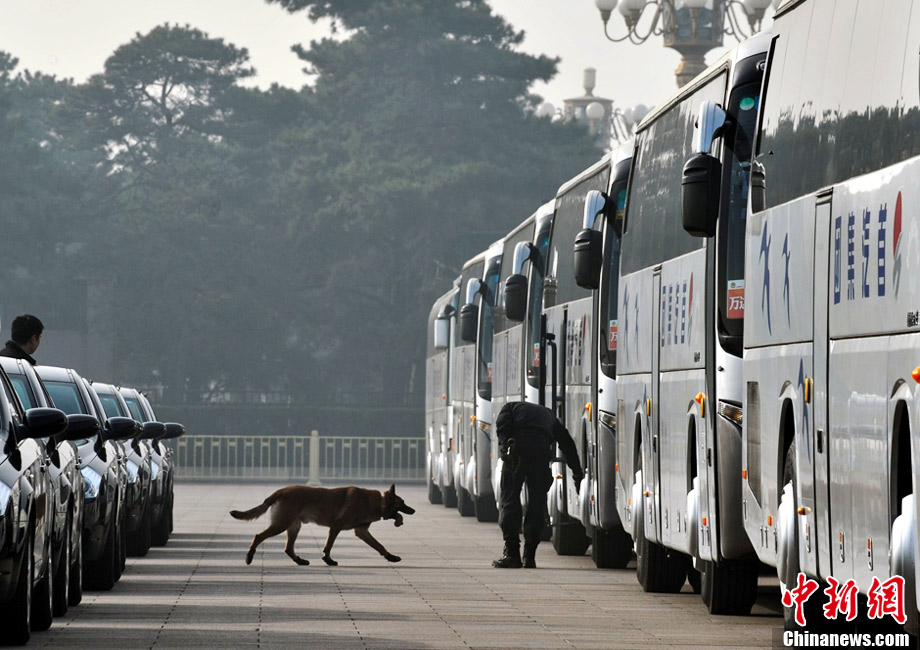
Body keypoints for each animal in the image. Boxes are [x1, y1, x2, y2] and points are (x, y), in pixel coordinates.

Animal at [230, 484, 416, 564]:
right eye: (403, 503)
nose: (414, 510)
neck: (379, 502)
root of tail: (280, 491)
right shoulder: (336, 527)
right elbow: (329, 545)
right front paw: (328, 559)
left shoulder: (362, 533)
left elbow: (379, 546)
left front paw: (390, 557)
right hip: (281, 524)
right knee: (258, 536)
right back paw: (249, 556)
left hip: (294, 526)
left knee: (288, 548)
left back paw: (300, 561)